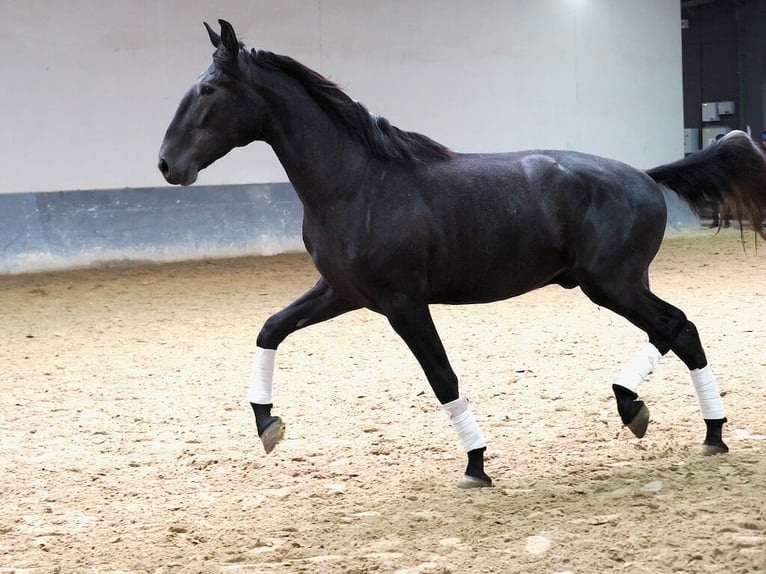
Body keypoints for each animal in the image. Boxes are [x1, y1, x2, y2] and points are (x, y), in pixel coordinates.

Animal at [159, 21, 766, 490]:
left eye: (209, 89)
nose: (167, 164)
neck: (358, 184)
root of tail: (645, 174)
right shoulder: (343, 292)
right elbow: (271, 328)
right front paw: (266, 423)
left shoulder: (404, 304)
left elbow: (442, 377)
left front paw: (476, 463)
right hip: (615, 284)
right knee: (678, 330)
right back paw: (687, 424)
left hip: (612, 284)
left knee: (676, 326)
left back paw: (668, 416)